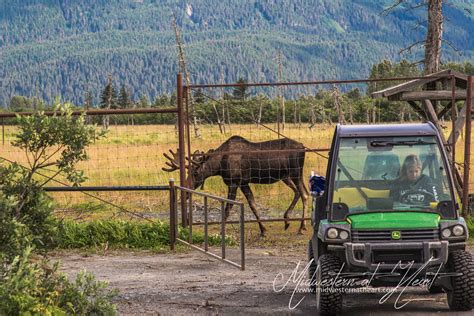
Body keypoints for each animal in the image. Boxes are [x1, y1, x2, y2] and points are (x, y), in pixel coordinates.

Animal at [163, 135, 310, 236]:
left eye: (195, 172)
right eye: (188, 172)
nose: (186, 192)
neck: (219, 166)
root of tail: (303, 147)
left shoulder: (233, 182)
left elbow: (228, 209)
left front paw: (221, 232)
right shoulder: (243, 183)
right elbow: (252, 204)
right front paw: (263, 230)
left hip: (296, 172)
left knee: (305, 194)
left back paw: (302, 227)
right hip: (286, 176)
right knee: (298, 192)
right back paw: (287, 220)